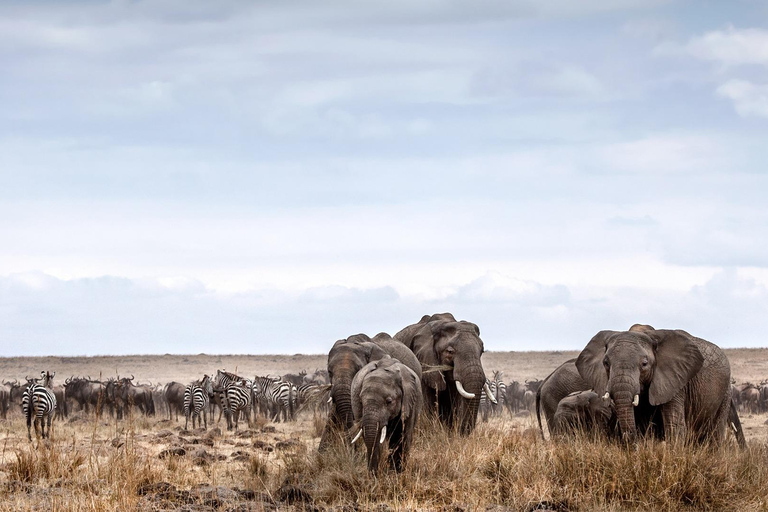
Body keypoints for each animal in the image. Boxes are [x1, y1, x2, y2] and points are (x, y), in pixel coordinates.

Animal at [576, 324, 732, 444]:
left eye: (644, 364)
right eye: (606, 363)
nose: (627, 437)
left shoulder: (676, 382)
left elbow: (674, 427)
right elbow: (643, 427)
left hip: (726, 393)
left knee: (714, 437)